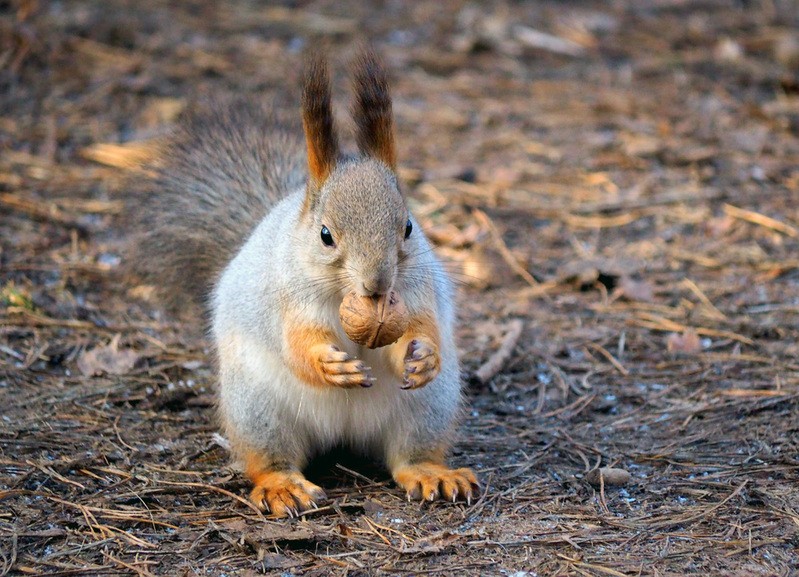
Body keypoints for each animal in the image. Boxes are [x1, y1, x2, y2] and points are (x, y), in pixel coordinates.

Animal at [130, 50, 478, 516]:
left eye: (408, 227)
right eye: (325, 235)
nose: (377, 284)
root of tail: (345, 435)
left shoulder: (419, 292)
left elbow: (423, 326)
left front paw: (423, 355)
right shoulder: (287, 299)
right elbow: (296, 343)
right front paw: (328, 363)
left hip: (429, 406)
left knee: (409, 455)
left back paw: (432, 473)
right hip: (257, 407)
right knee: (269, 458)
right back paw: (283, 485)